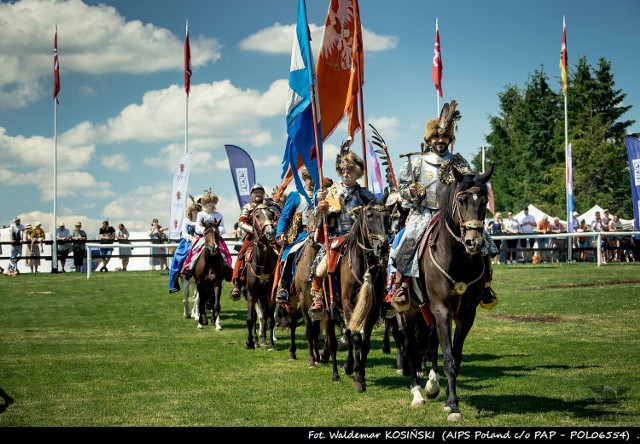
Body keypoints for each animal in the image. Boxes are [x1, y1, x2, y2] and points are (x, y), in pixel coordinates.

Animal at [396, 166, 496, 420]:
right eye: (461, 200)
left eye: (484, 201)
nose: (473, 242)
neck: (456, 259)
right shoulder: (442, 310)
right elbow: (449, 358)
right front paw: (454, 406)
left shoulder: (465, 314)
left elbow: (455, 357)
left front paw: (447, 399)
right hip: (408, 313)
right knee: (411, 348)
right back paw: (417, 394)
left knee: (431, 343)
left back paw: (432, 385)